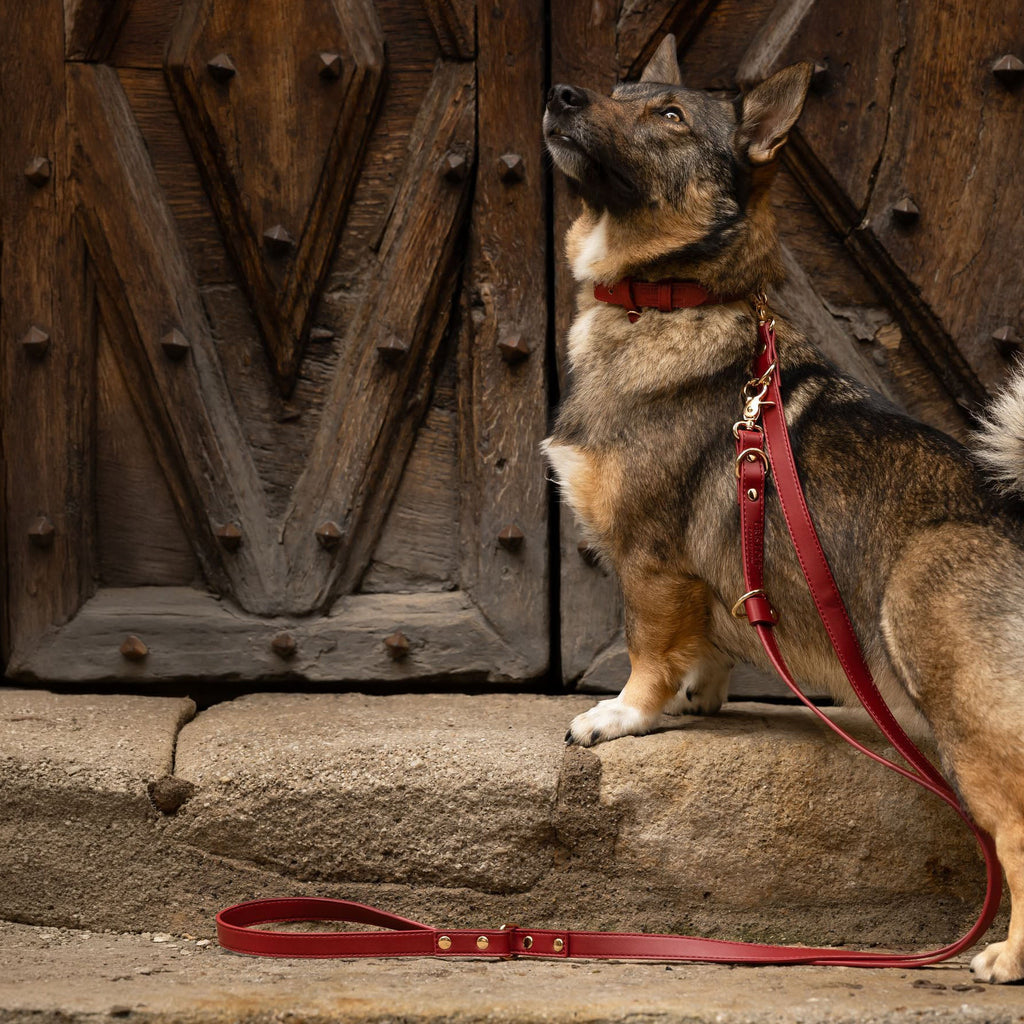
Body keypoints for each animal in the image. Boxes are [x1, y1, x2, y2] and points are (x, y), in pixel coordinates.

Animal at [542, 34, 1024, 983]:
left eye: (669, 115)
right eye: (620, 91)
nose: (563, 94)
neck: (669, 299)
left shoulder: (650, 561)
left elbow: (645, 652)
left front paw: (625, 716)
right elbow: (700, 649)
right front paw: (700, 694)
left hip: (967, 715)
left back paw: (1007, 957)